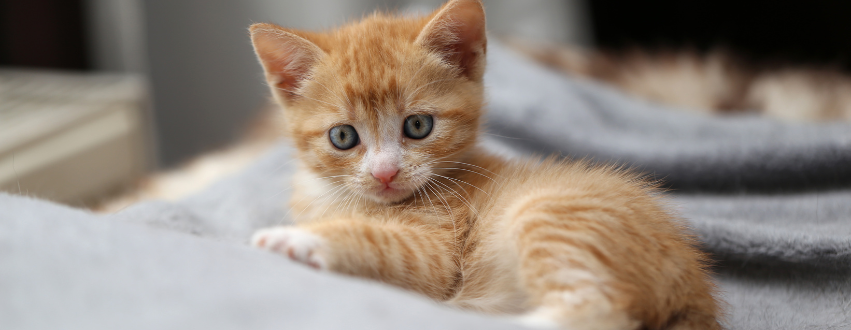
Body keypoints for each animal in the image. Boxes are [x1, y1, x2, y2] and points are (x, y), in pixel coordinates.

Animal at [250, 1, 724, 328]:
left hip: (549, 214)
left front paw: (297, 238)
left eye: (418, 125)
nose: (385, 173)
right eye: (343, 137)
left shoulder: (436, 249)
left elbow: (379, 243)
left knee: (600, 312)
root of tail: (694, 291)